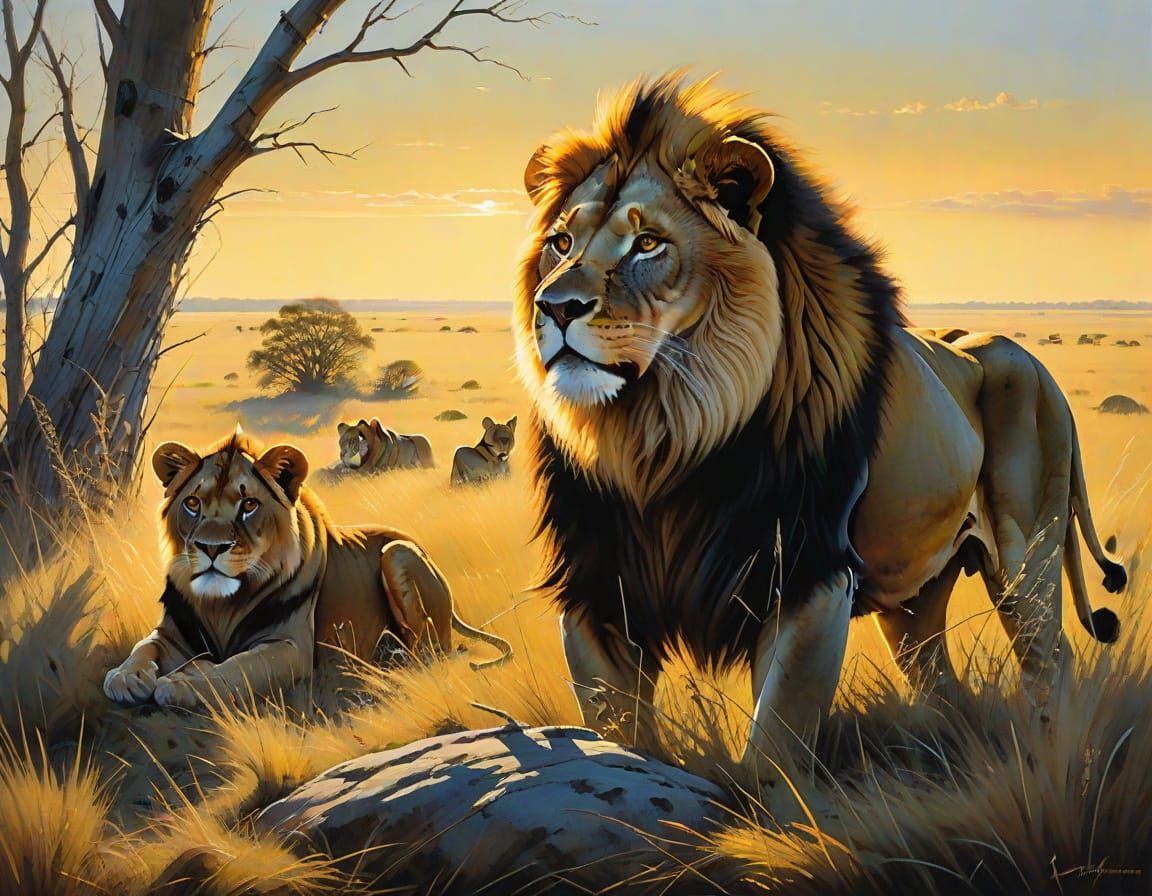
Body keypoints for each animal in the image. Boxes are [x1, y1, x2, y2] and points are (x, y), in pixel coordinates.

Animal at [103, 428, 511, 709]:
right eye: (192, 503)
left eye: (248, 505)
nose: (211, 548)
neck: (221, 604)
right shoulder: (173, 633)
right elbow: (144, 647)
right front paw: (125, 677)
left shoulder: (291, 649)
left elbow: (235, 670)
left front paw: (183, 683)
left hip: (396, 554)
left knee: (434, 649)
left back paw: (393, 661)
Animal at [515, 74, 1126, 796]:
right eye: (561, 244)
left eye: (648, 244)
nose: (554, 307)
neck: (661, 437)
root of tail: (1034, 363)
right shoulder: (595, 590)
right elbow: (618, 731)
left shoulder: (809, 577)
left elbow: (774, 747)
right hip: (914, 601)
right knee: (943, 685)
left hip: (1026, 562)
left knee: (1052, 668)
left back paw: (1061, 765)